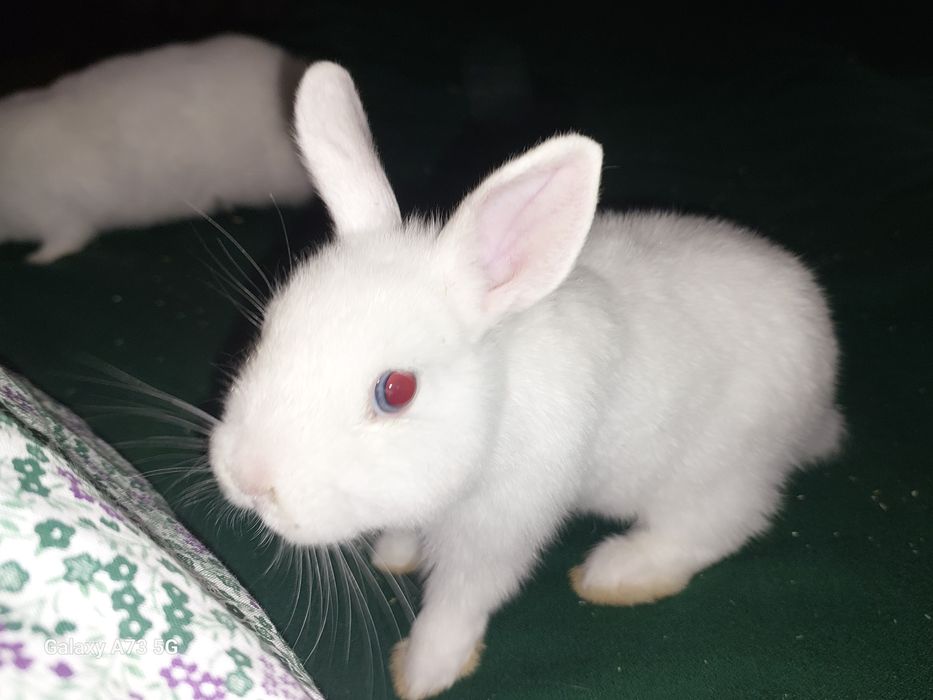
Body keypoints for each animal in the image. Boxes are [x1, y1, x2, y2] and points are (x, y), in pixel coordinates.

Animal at [208, 61, 843, 699]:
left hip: (719, 470)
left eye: (396, 391)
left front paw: (422, 671)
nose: (248, 478)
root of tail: (823, 382)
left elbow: (461, 600)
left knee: (720, 525)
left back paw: (615, 572)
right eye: (269, 327)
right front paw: (394, 555)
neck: (496, 401)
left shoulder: (497, 527)